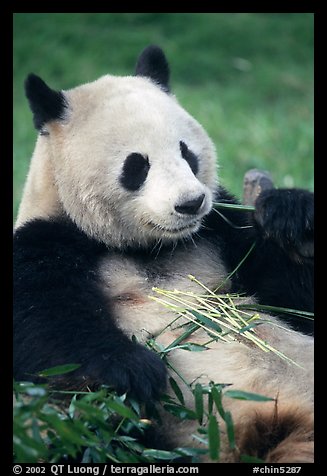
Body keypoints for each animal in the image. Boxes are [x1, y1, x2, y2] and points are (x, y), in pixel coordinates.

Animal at [13, 44, 316, 462]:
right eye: (136, 165)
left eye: (187, 153)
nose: (191, 203)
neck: (148, 248)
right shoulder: (45, 242)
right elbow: (47, 327)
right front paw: (134, 372)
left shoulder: (221, 230)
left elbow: (293, 301)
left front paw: (290, 216)